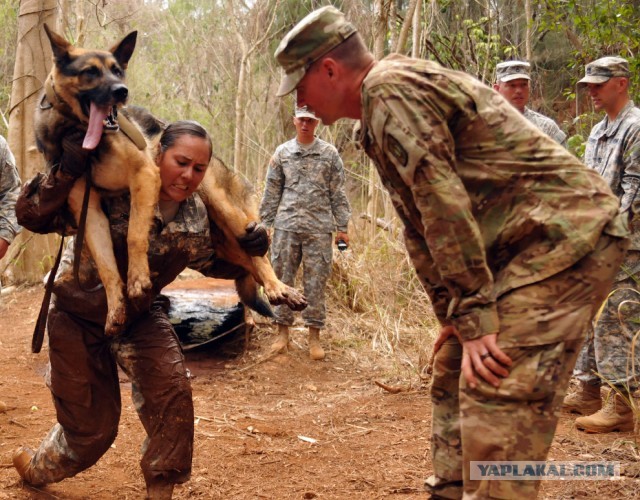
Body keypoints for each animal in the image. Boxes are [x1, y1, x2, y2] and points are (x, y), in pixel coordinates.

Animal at [36, 23, 306, 336]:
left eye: (118, 71)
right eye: (90, 72)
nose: (122, 91)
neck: (82, 139)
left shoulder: (144, 174)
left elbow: (135, 234)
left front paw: (138, 277)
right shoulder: (88, 209)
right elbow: (106, 266)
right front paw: (116, 308)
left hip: (223, 207)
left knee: (258, 254)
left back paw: (278, 287)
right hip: (225, 245)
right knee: (245, 266)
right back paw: (283, 292)